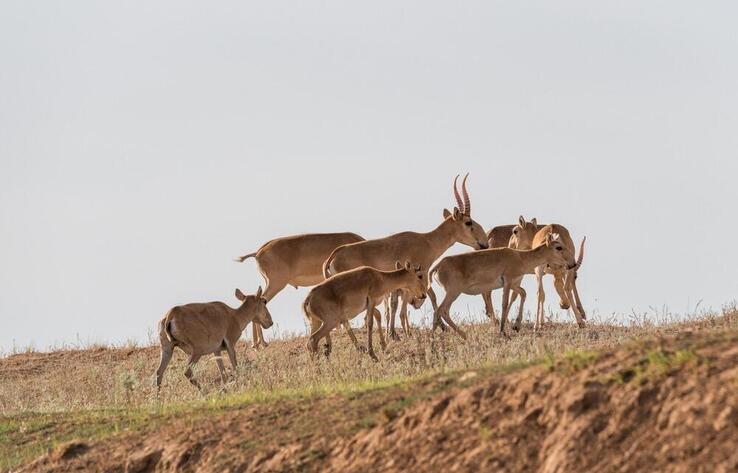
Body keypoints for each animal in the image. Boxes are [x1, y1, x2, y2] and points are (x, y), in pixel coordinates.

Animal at [324, 175, 488, 338]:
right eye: (468, 222)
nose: (484, 244)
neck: (427, 241)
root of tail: (334, 256)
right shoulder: (417, 275)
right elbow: (427, 297)